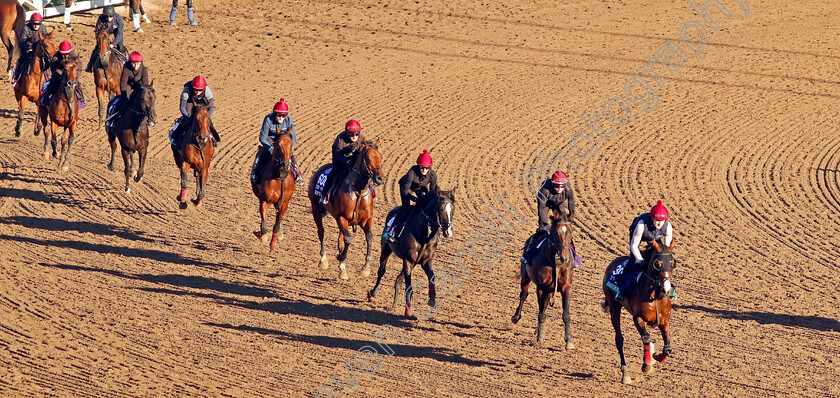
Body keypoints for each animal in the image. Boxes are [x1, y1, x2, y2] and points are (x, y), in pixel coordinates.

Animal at [306, 140, 386, 280]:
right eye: (368, 158)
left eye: (380, 157)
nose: (380, 178)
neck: (358, 190)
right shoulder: (342, 218)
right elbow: (348, 239)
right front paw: (340, 256)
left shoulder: (366, 219)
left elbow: (369, 237)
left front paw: (366, 268)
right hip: (316, 209)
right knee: (321, 232)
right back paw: (323, 259)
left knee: (340, 239)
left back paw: (342, 269)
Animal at [368, 188, 456, 318]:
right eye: (440, 209)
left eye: (453, 209)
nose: (448, 232)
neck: (424, 235)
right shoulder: (408, 260)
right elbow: (409, 287)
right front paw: (408, 312)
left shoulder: (426, 260)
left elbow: (432, 277)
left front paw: (432, 299)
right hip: (386, 249)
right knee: (381, 271)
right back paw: (373, 293)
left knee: (398, 279)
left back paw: (395, 304)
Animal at [508, 213, 576, 346]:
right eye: (555, 232)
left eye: (571, 231)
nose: (564, 257)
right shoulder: (543, 287)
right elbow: (541, 313)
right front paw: (540, 337)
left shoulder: (566, 288)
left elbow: (566, 314)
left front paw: (569, 340)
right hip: (526, 278)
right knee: (524, 295)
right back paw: (516, 318)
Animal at [604, 238, 676, 384]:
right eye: (658, 263)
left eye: (672, 262)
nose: (666, 289)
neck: (655, 295)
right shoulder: (639, 318)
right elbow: (646, 338)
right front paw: (647, 365)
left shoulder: (665, 321)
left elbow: (667, 348)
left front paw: (656, 356)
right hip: (614, 305)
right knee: (619, 339)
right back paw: (625, 374)